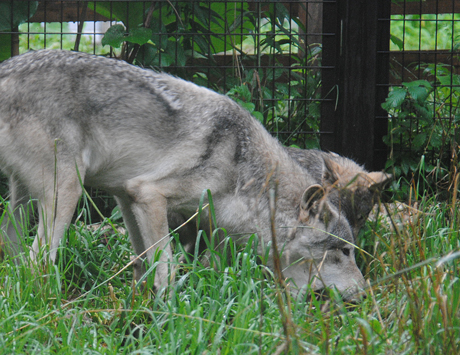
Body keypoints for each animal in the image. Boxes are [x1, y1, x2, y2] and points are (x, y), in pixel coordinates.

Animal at [0, 49, 364, 300]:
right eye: (344, 252)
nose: (364, 293)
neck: (242, 165)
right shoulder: (148, 194)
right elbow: (167, 267)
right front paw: (168, 311)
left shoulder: (126, 196)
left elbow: (143, 262)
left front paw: (141, 305)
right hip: (68, 192)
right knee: (36, 262)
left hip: (26, 200)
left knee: (13, 253)